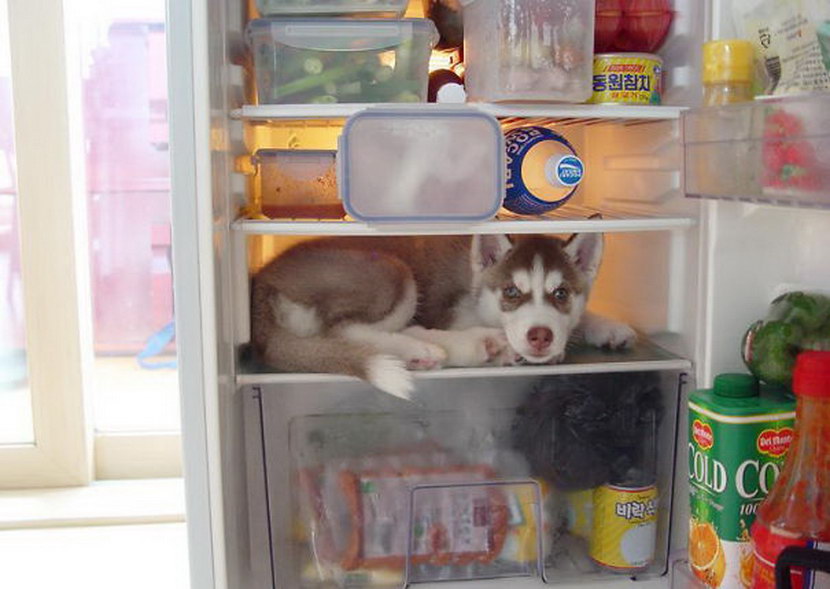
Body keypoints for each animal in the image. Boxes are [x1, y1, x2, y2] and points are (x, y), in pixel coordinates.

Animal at [250, 232, 632, 398]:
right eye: (511, 292)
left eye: (561, 294)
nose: (540, 336)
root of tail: (262, 280)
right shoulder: (452, 310)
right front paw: (505, 346)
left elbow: (581, 317)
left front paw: (610, 327)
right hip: (393, 272)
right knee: (343, 330)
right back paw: (447, 347)